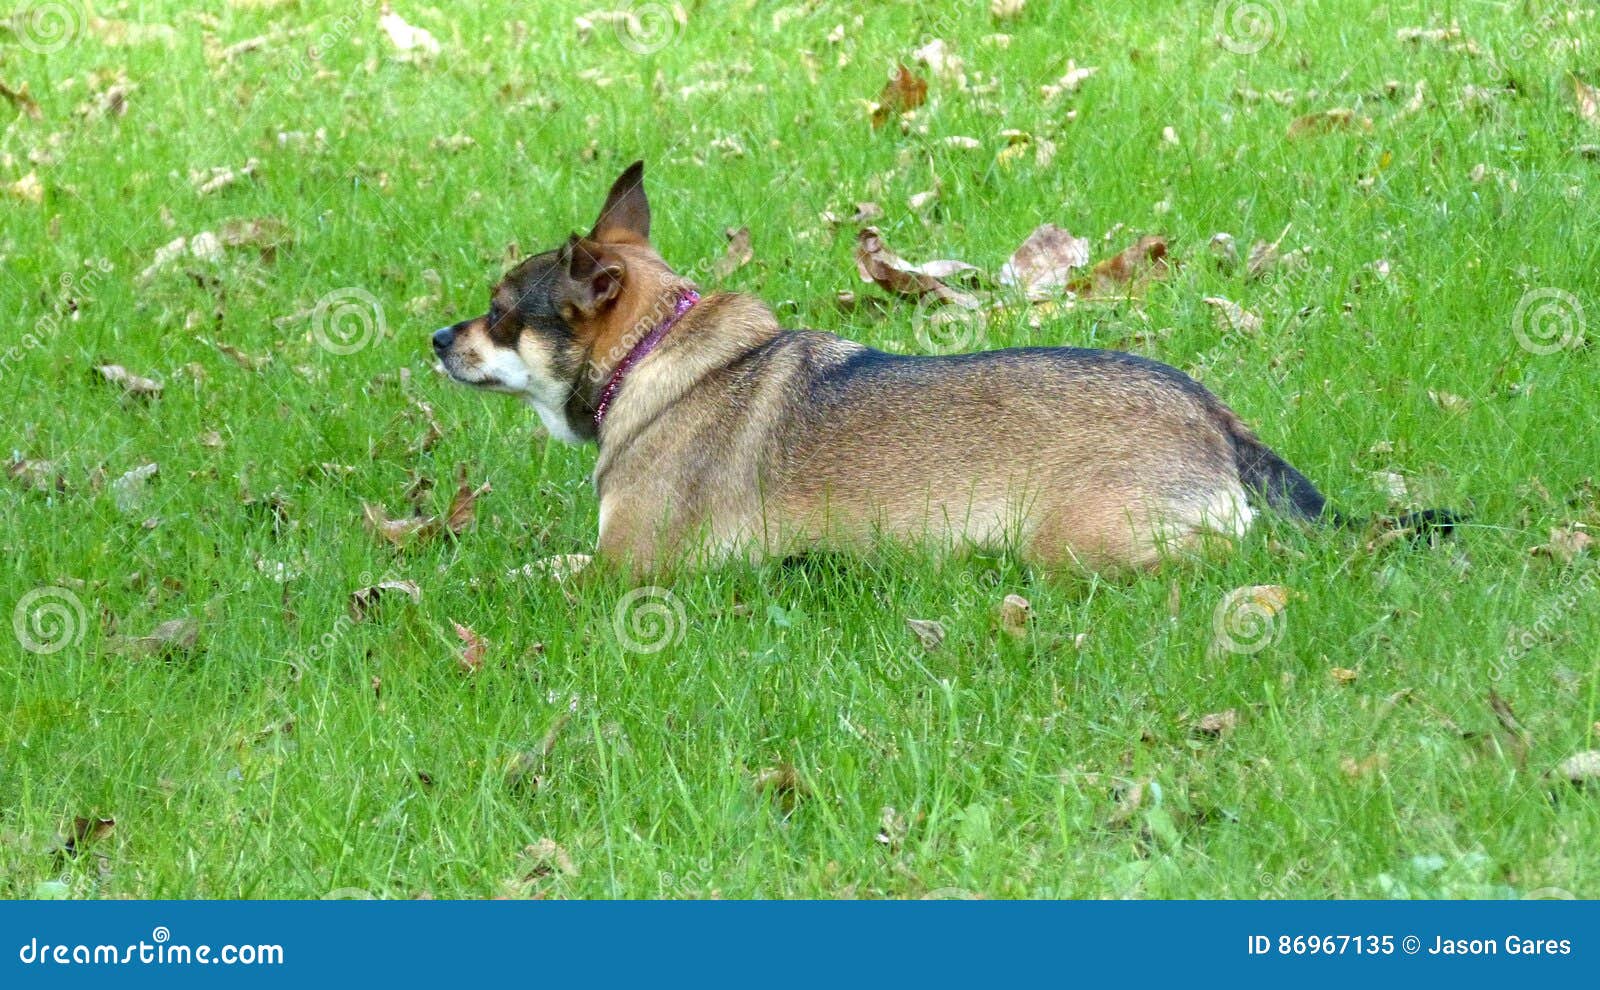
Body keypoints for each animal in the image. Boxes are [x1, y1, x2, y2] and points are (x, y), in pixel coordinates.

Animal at [432, 160, 1446, 582]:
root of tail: (1212, 416)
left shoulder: (625, 571)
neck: (655, 353)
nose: (438, 338)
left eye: (498, 310)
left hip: (1078, 543)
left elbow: (534, 573)